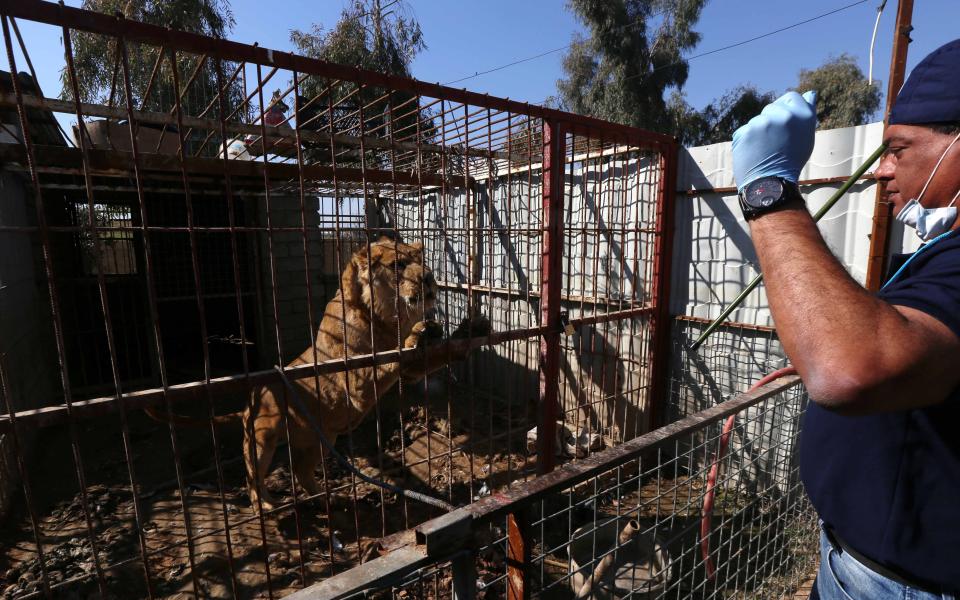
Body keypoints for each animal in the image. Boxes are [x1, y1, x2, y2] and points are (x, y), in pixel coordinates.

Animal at [149, 237, 488, 508]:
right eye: (398, 264)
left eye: (421, 260)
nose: (429, 278)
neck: (386, 319)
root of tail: (248, 404)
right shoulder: (356, 381)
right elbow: (386, 357)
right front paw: (418, 334)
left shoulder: (411, 371)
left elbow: (440, 355)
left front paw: (471, 328)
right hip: (261, 440)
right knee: (253, 477)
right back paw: (266, 506)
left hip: (320, 439)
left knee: (301, 471)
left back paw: (327, 498)